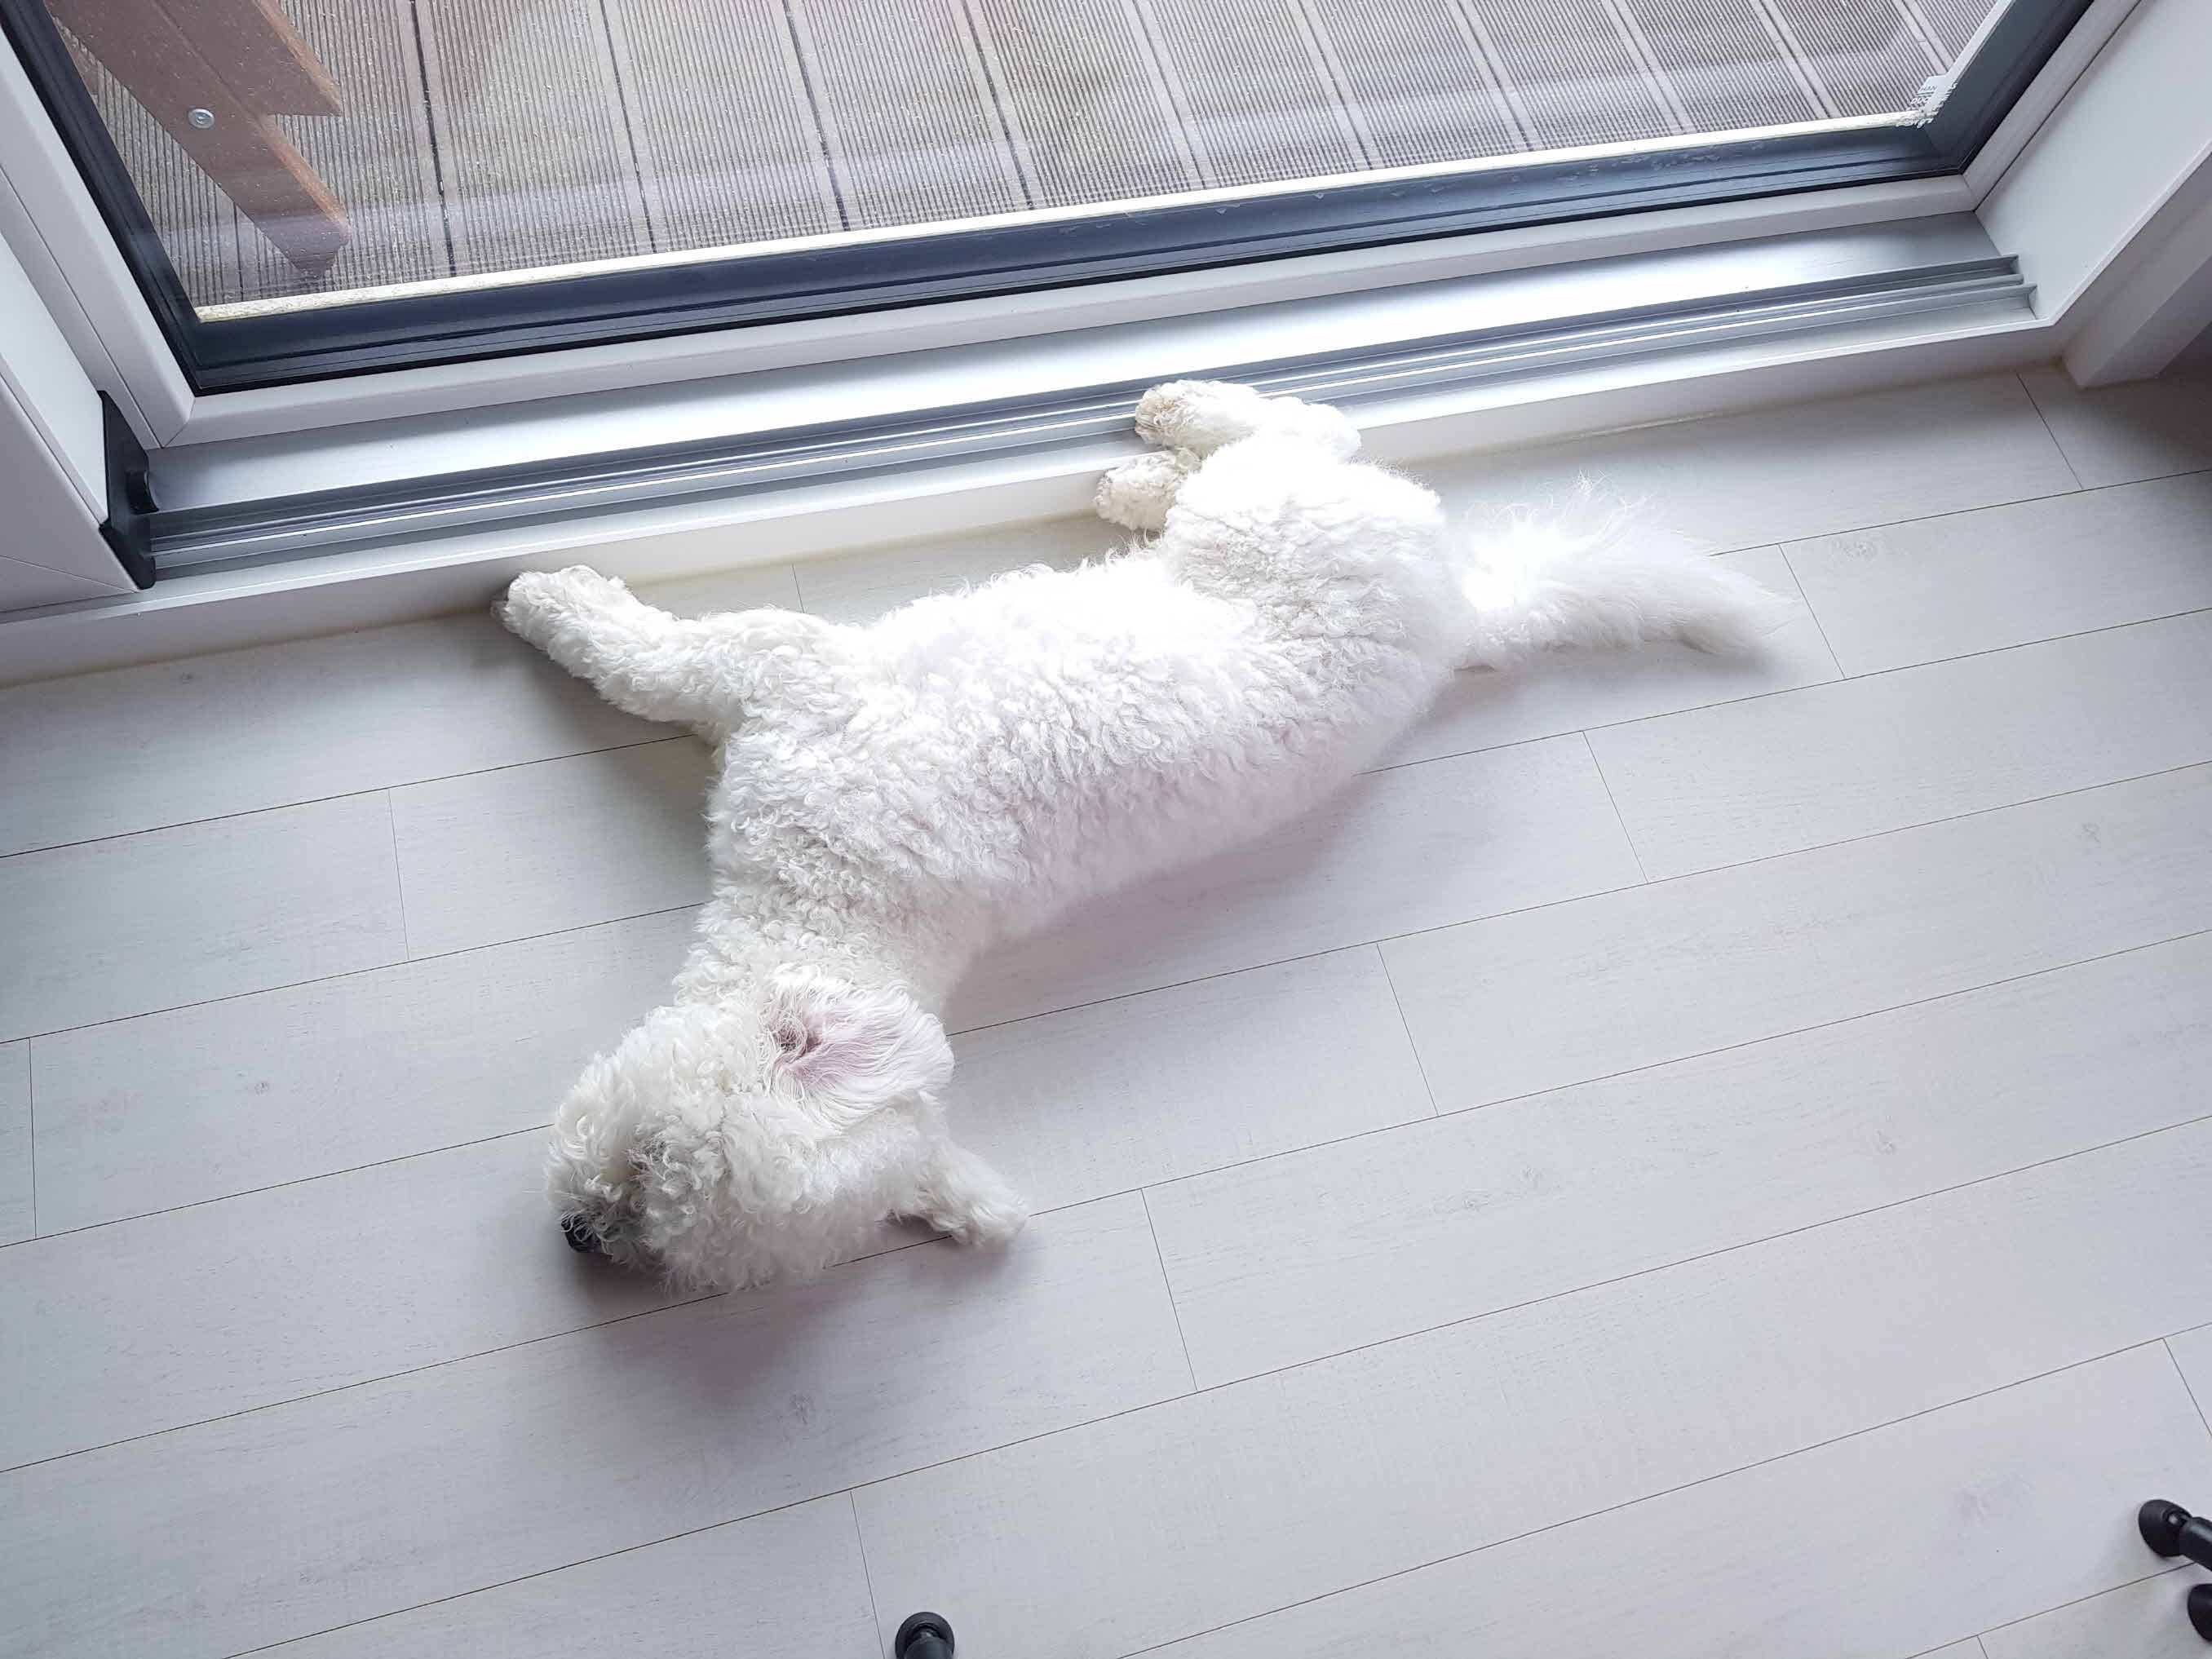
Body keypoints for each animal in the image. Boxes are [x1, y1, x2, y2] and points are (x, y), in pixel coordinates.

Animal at [498, 380, 1784, 1292]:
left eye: (655, 1207)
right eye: (646, 1164)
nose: (573, 1236)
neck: (838, 907)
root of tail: (1466, 608)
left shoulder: (781, 679)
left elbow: (647, 660)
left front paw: (546, 603)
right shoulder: (781, 675)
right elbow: (649, 657)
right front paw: (550, 599)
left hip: (1271, 517)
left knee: (1309, 432)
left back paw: (1156, 445)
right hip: (1276, 515)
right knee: (1320, 426)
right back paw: (1156, 444)